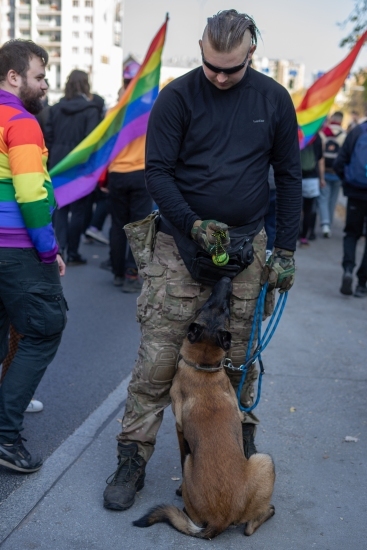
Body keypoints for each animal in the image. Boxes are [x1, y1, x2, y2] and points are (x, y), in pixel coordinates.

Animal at [134, 278, 274, 540]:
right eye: (209, 306)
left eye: (224, 310)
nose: (226, 280)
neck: (203, 366)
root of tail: (220, 520)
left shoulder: (180, 431)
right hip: (263, 461)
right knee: (250, 526)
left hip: (263, 460)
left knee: (251, 525)